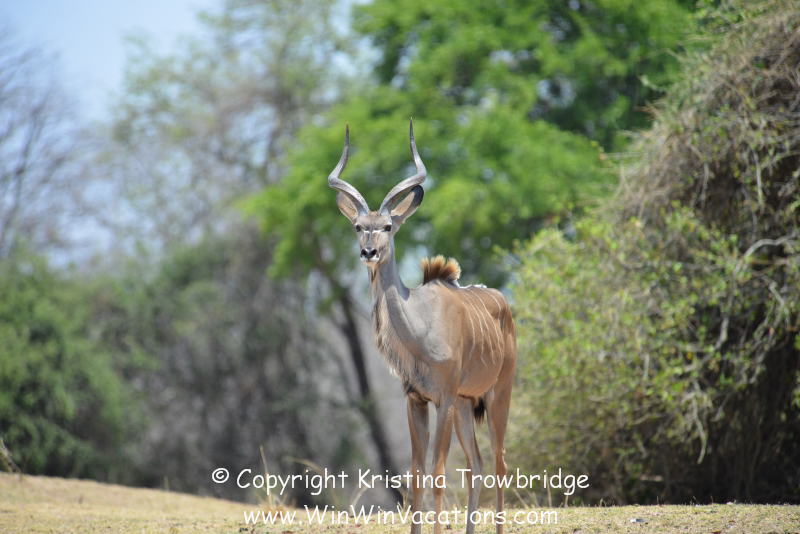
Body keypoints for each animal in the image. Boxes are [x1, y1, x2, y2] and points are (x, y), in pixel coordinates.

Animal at [328, 119, 516, 534]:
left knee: (498, 462)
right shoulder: (416, 400)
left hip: (498, 395)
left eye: (387, 226)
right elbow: (415, 475)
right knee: (477, 465)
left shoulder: (442, 399)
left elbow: (438, 473)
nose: (368, 252)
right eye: (358, 226)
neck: (419, 327)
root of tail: (504, 304)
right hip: (466, 405)